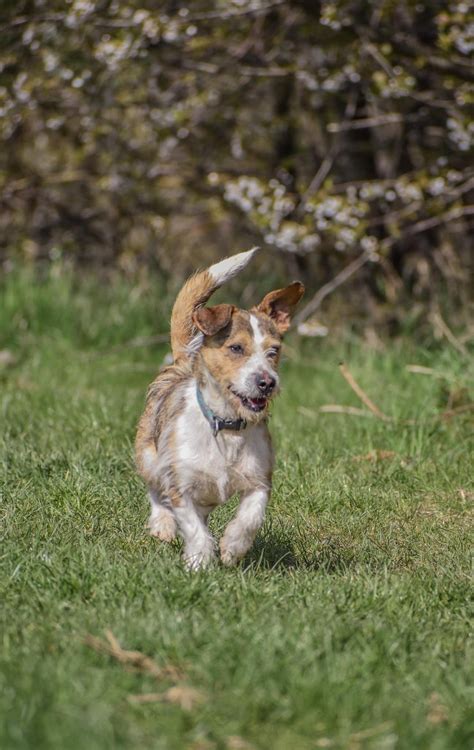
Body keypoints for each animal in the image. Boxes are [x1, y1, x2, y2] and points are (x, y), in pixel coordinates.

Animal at [134, 250, 304, 572]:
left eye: (274, 351)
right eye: (236, 348)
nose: (267, 382)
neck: (226, 425)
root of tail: (182, 363)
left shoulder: (259, 480)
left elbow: (251, 516)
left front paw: (232, 548)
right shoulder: (180, 485)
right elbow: (192, 527)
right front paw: (200, 562)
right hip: (148, 454)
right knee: (155, 491)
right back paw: (162, 525)